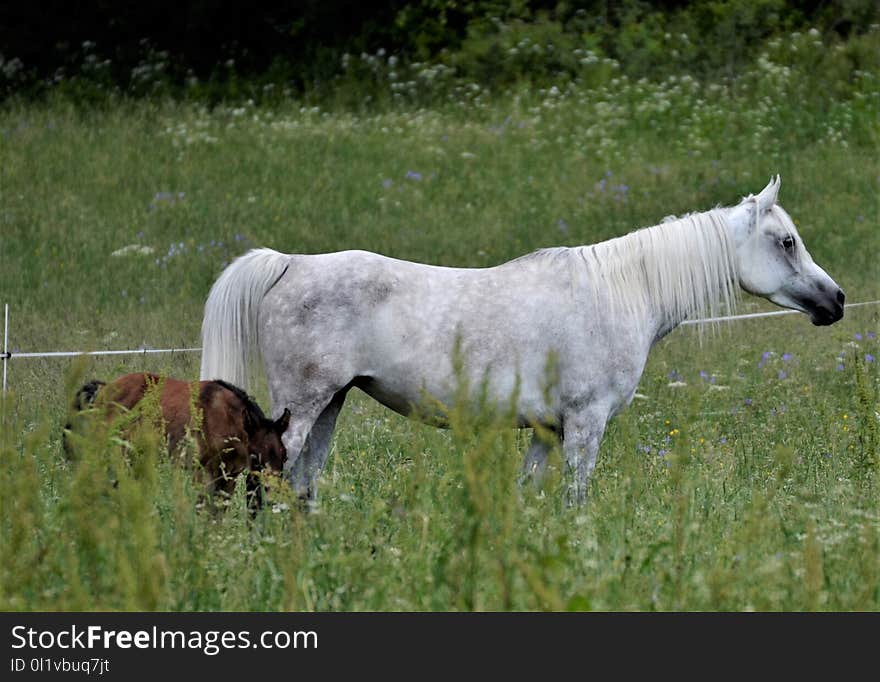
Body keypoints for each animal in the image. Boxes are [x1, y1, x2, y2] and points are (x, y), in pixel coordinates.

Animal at [201, 178, 844, 502]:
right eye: (786, 241)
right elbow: (575, 500)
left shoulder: (546, 432)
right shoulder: (585, 424)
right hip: (305, 406)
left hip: (331, 404)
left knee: (303, 484)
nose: (835, 301)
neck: (618, 292)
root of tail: (290, 263)